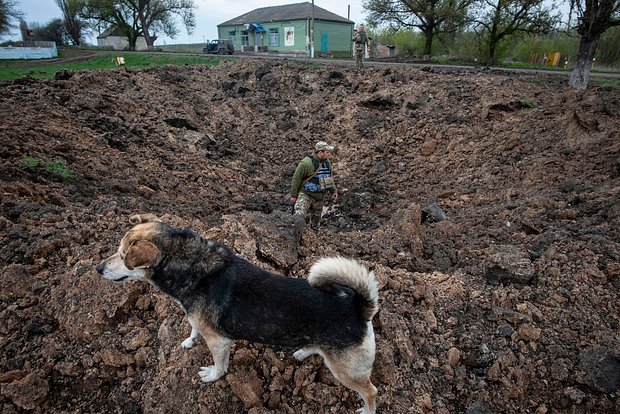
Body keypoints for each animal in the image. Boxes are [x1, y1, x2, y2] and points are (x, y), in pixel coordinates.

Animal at [95, 215, 380, 412]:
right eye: (117, 250)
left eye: (123, 256)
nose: (97, 268)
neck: (191, 268)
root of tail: (359, 307)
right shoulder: (197, 319)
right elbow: (193, 327)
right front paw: (189, 341)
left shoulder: (220, 341)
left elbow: (220, 365)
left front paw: (212, 375)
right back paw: (303, 351)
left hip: (347, 370)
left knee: (371, 391)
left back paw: (367, 410)